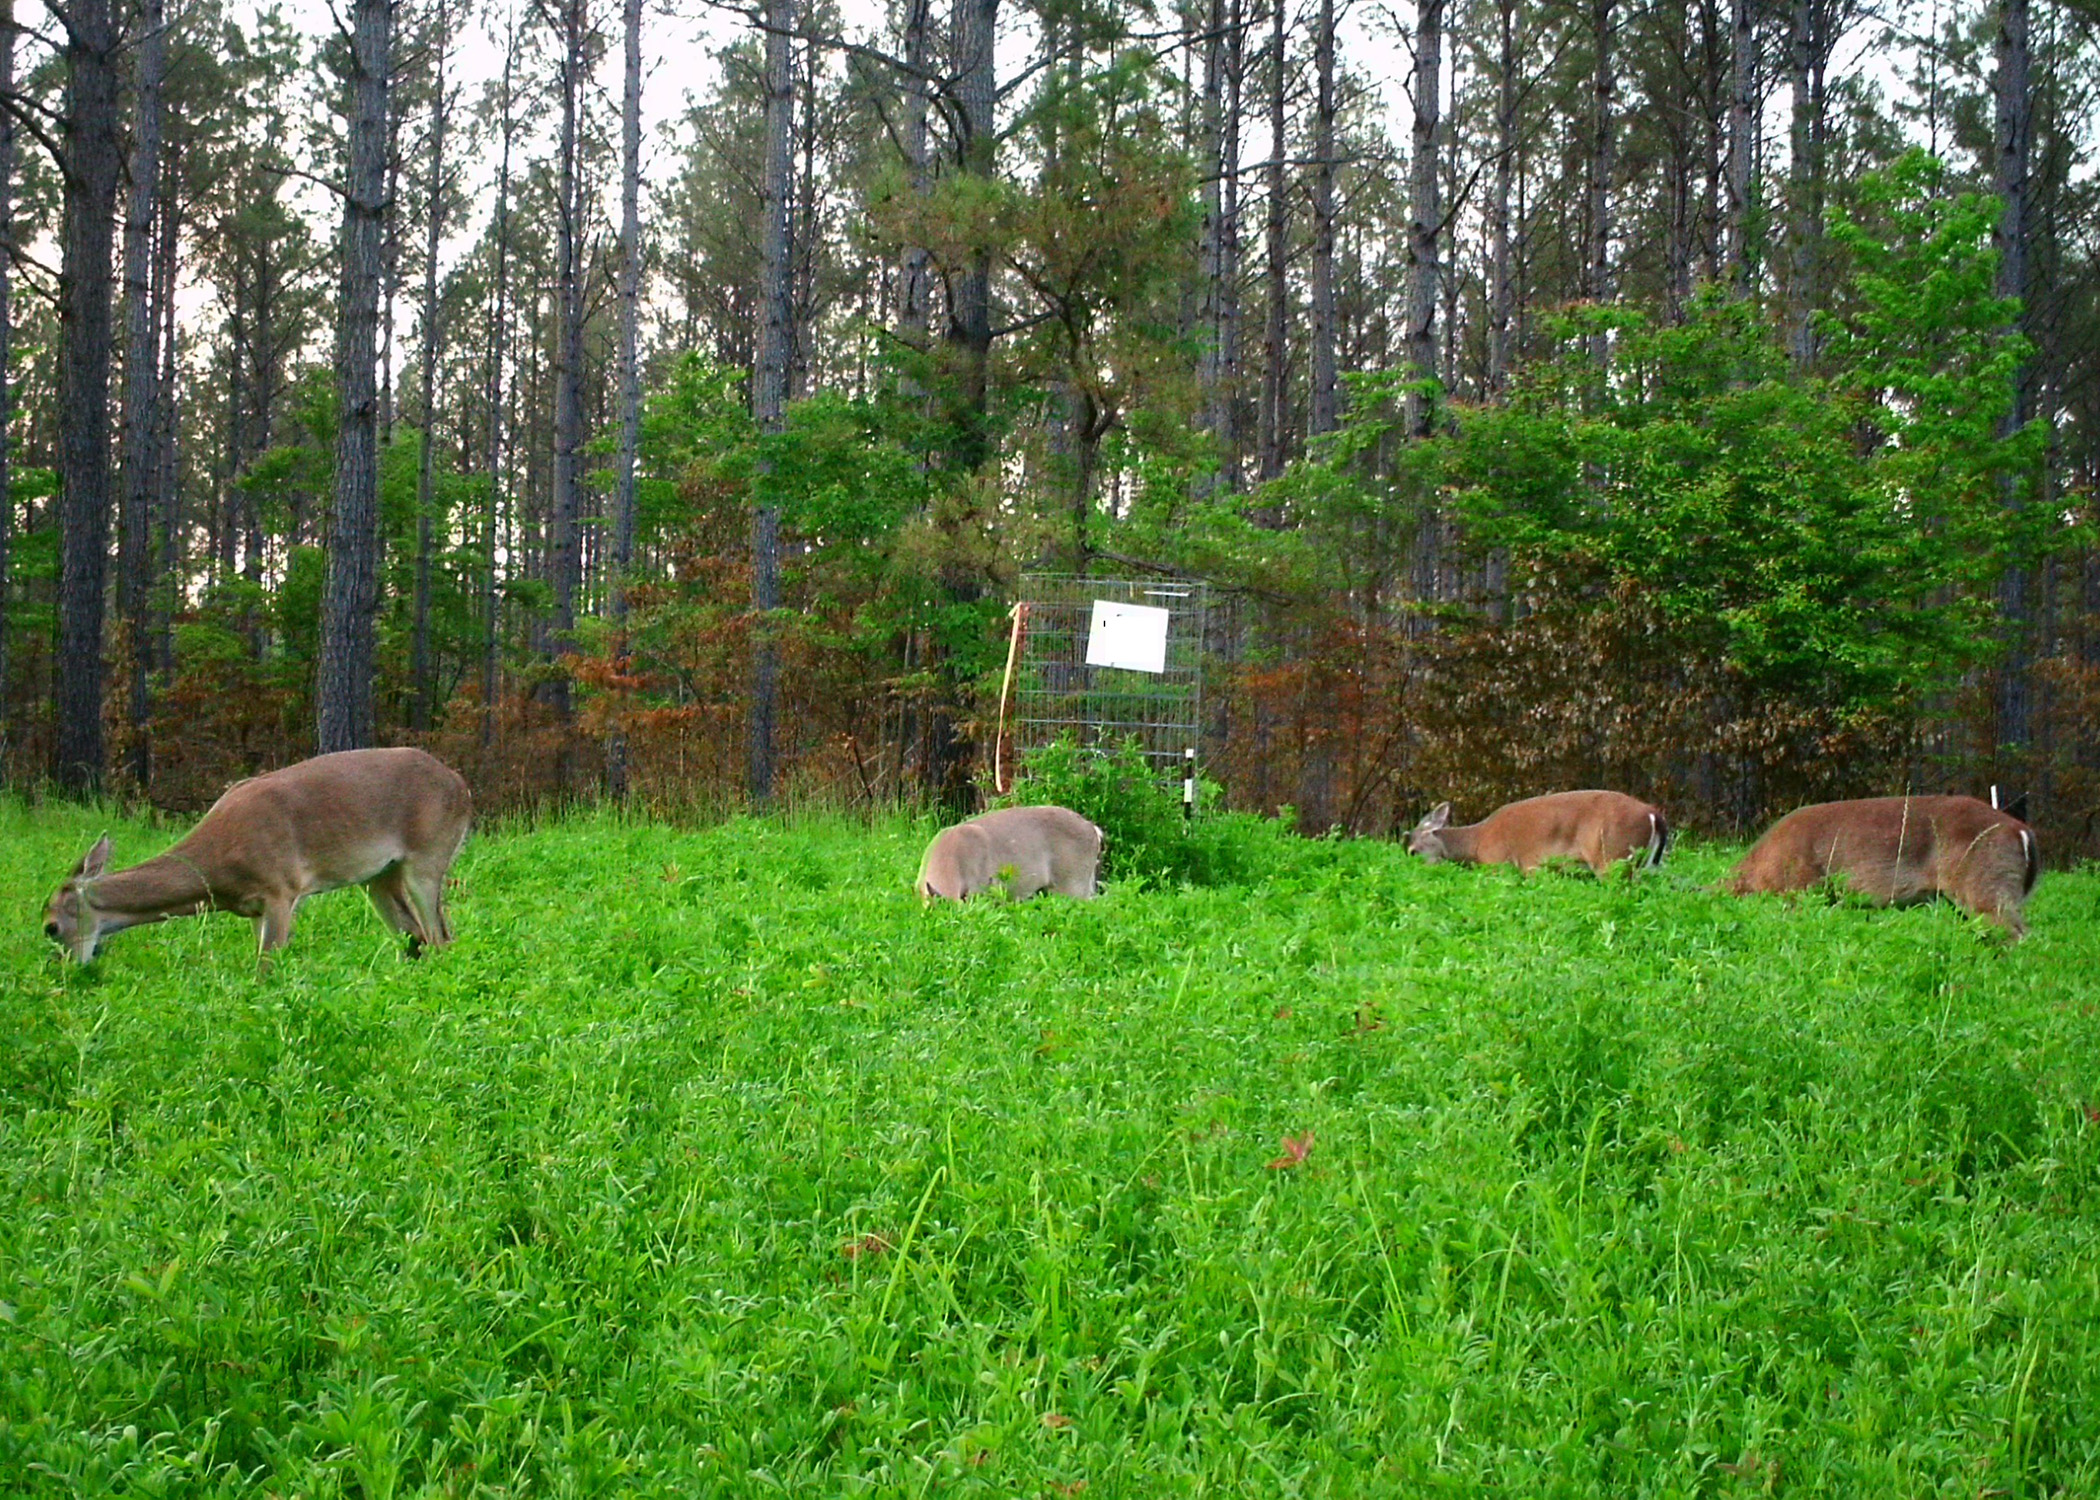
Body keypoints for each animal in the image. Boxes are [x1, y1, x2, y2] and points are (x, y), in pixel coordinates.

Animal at [43, 743, 472, 962]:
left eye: (50, 927)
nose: (67, 971)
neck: (216, 869)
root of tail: (461, 785)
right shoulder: (253, 909)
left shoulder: (280, 888)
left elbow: (266, 967)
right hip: (378, 876)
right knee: (416, 938)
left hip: (428, 854)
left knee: (440, 937)